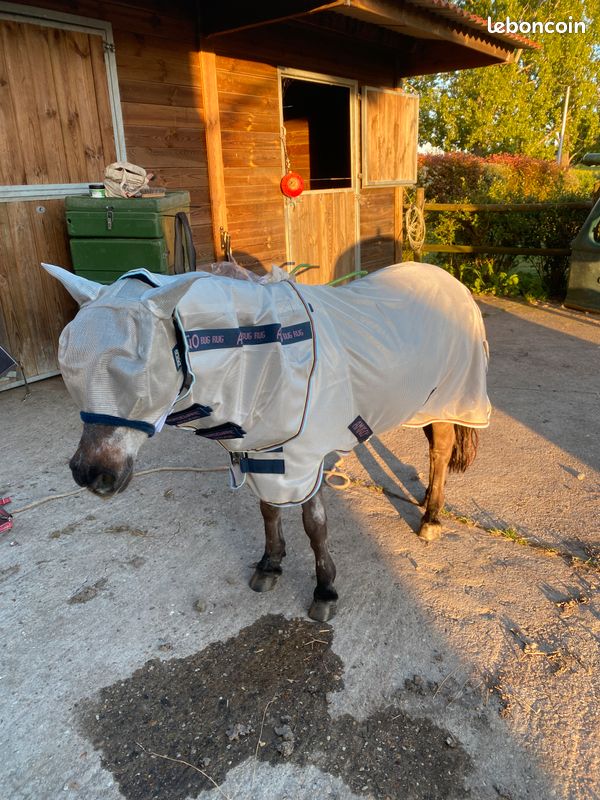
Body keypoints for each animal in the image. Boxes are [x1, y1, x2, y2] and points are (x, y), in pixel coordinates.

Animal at [44, 261, 490, 622]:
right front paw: (270, 565)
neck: (263, 356)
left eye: (139, 375)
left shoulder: (304, 457)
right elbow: (268, 511)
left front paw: (325, 590)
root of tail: (447, 278)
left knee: (441, 450)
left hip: (451, 396)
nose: (91, 474)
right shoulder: (261, 450)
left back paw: (431, 519)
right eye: (70, 369)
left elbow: (315, 525)